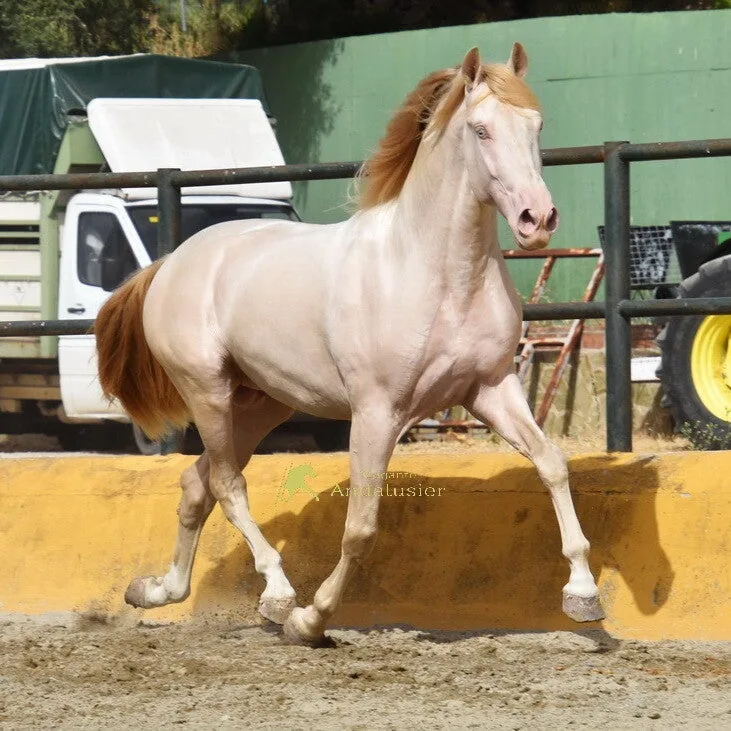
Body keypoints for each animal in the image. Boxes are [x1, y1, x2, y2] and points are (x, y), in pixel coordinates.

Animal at [96, 44, 604, 646]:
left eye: (536, 127)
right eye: (480, 130)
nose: (538, 219)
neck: (435, 274)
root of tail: (171, 262)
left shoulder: (490, 389)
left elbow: (552, 464)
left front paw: (584, 594)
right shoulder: (378, 411)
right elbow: (360, 528)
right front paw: (311, 620)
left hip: (262, 403)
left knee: (197, 484)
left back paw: (156, 591)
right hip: (208, 393)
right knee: (226, 483)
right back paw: (277, 594)